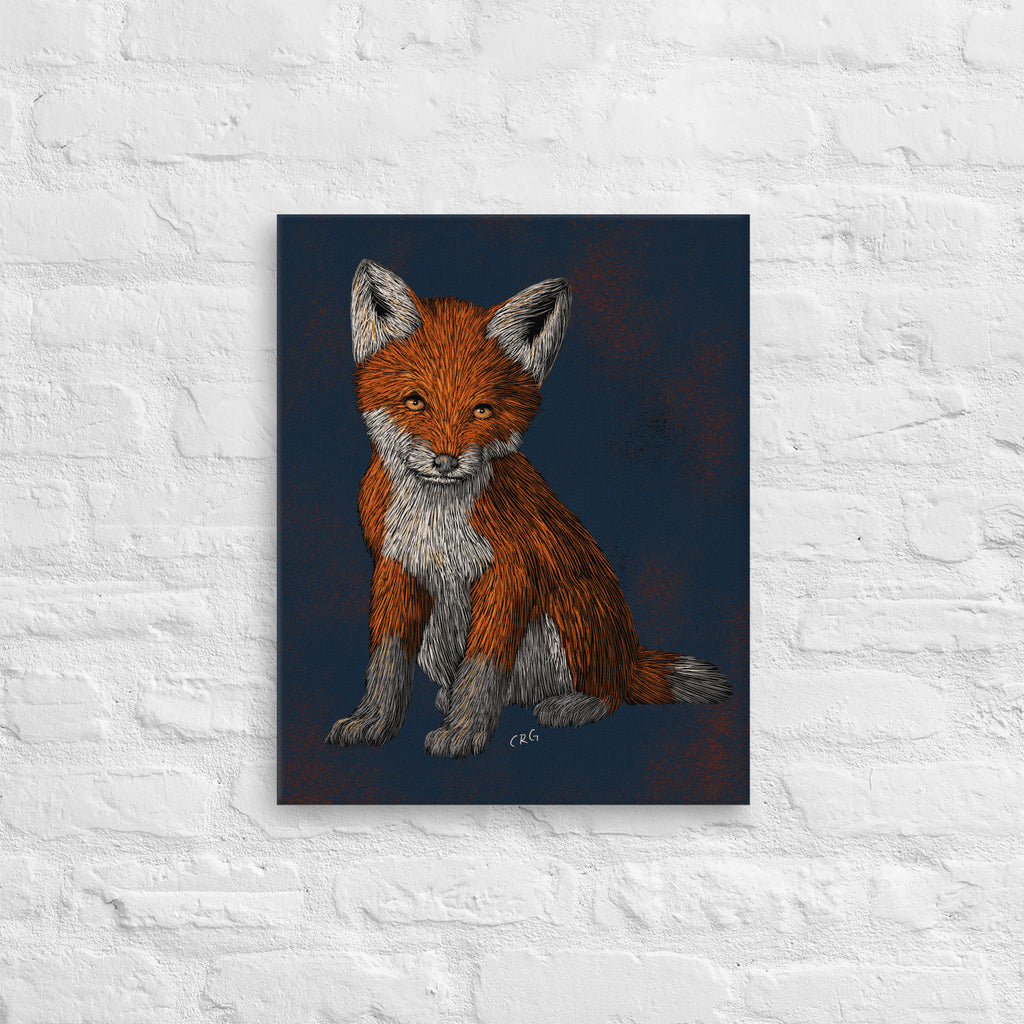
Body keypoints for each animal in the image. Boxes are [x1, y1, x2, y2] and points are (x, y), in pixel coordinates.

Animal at [326, 259, 730, 758]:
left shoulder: (511, 573)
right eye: (415, 401)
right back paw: (451, 697)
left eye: (482, 410)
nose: (446, 461)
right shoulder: (395, 567)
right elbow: (386, 662)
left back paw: (571, 704)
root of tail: (628, 656)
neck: (437, 520)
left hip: (573, 612)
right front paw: (374, 722)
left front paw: (464, 731)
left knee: (609, 694)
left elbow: (482, 667)